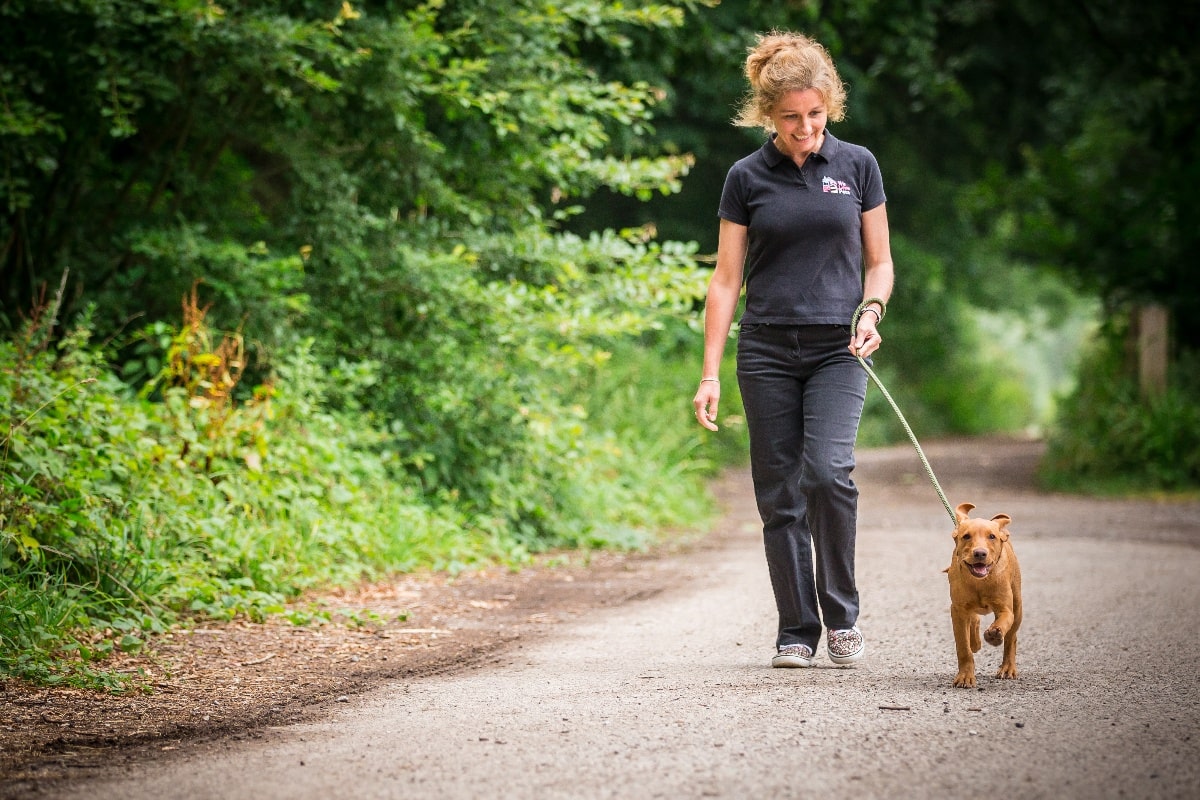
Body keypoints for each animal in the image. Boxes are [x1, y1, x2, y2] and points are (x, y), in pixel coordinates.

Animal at [945, 503, 1022, 686]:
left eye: (992, 536)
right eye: (966, 536)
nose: (980, 553)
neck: (980, 582)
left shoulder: (1006, 609)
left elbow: (1003, 621)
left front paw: (994, 634)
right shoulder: (958, 610)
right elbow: (963, 647)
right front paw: (965, 677)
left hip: (1018, 606)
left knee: (1011, 638)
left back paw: (1007, 668)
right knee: (975, 620)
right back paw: (976, 643)